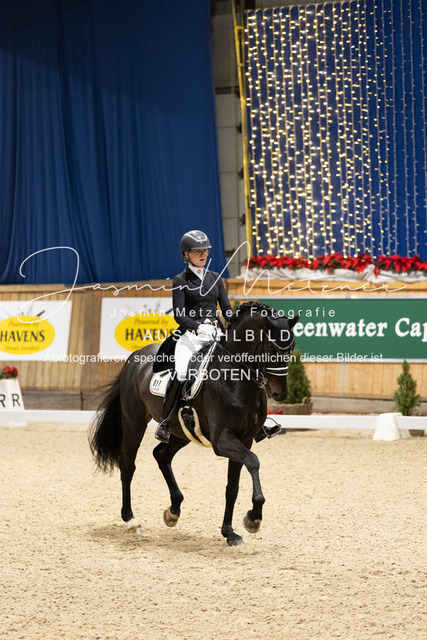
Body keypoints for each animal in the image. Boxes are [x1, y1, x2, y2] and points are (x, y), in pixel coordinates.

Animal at [89, 301, 299, 546]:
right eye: (272, 349)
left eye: (291, 348)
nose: (280, 393)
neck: (237, 378)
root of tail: (135, 356)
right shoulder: (222, 440)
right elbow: (253, 462)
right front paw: (253, 518)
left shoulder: (244, 440)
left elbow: (233, 486)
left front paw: (229, 532)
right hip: (134, 423)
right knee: (128, 466)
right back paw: (131, 520)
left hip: (182, 432)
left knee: (161, 455)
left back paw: (173, 511)